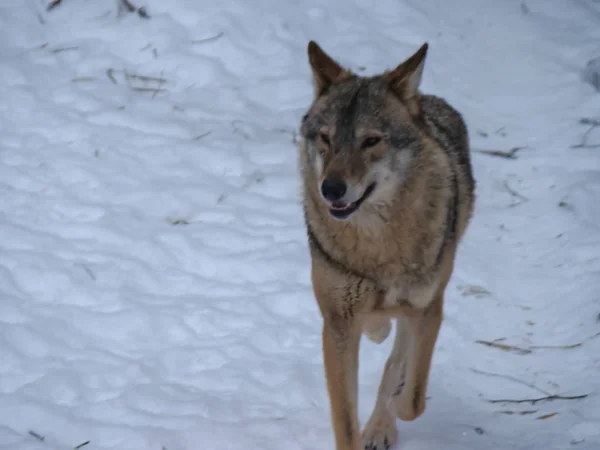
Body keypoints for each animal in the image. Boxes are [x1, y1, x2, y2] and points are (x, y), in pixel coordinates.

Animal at [298, 39, 476, 450]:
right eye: (326, 138)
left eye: (371, 141)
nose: (331, 189)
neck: (378, 246)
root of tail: (430, 100)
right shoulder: (338, 325)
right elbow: (345, 421)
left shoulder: (428, 309)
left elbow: (412, 399)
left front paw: (393, 408)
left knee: (398, 361)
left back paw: (382, 424)